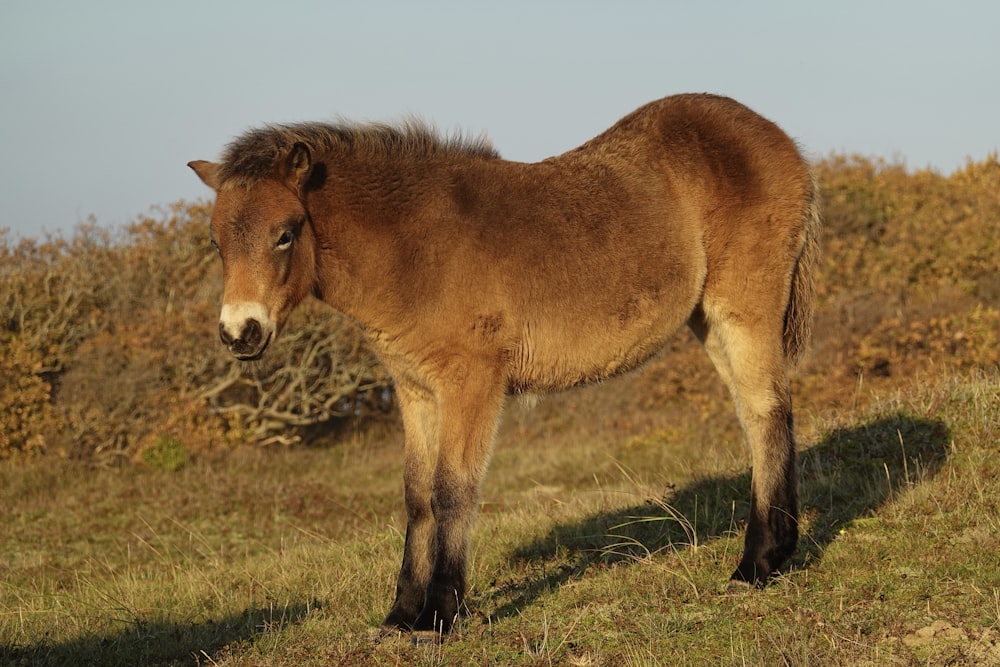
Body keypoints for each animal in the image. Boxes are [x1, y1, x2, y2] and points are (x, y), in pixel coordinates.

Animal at [188, 91, 820, 640]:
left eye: (285, 234)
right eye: (217, 242)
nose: (240, 333)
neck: (416, 248)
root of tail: (776, 137)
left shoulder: (471, 383)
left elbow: (453, 491)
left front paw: (439, 617)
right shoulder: (415, 389)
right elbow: (417, 496)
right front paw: (400, 616)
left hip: (743, 307)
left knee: (767, 411)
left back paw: (756, 566)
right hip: (709, 320)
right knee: (759, 415)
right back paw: (774, 554)